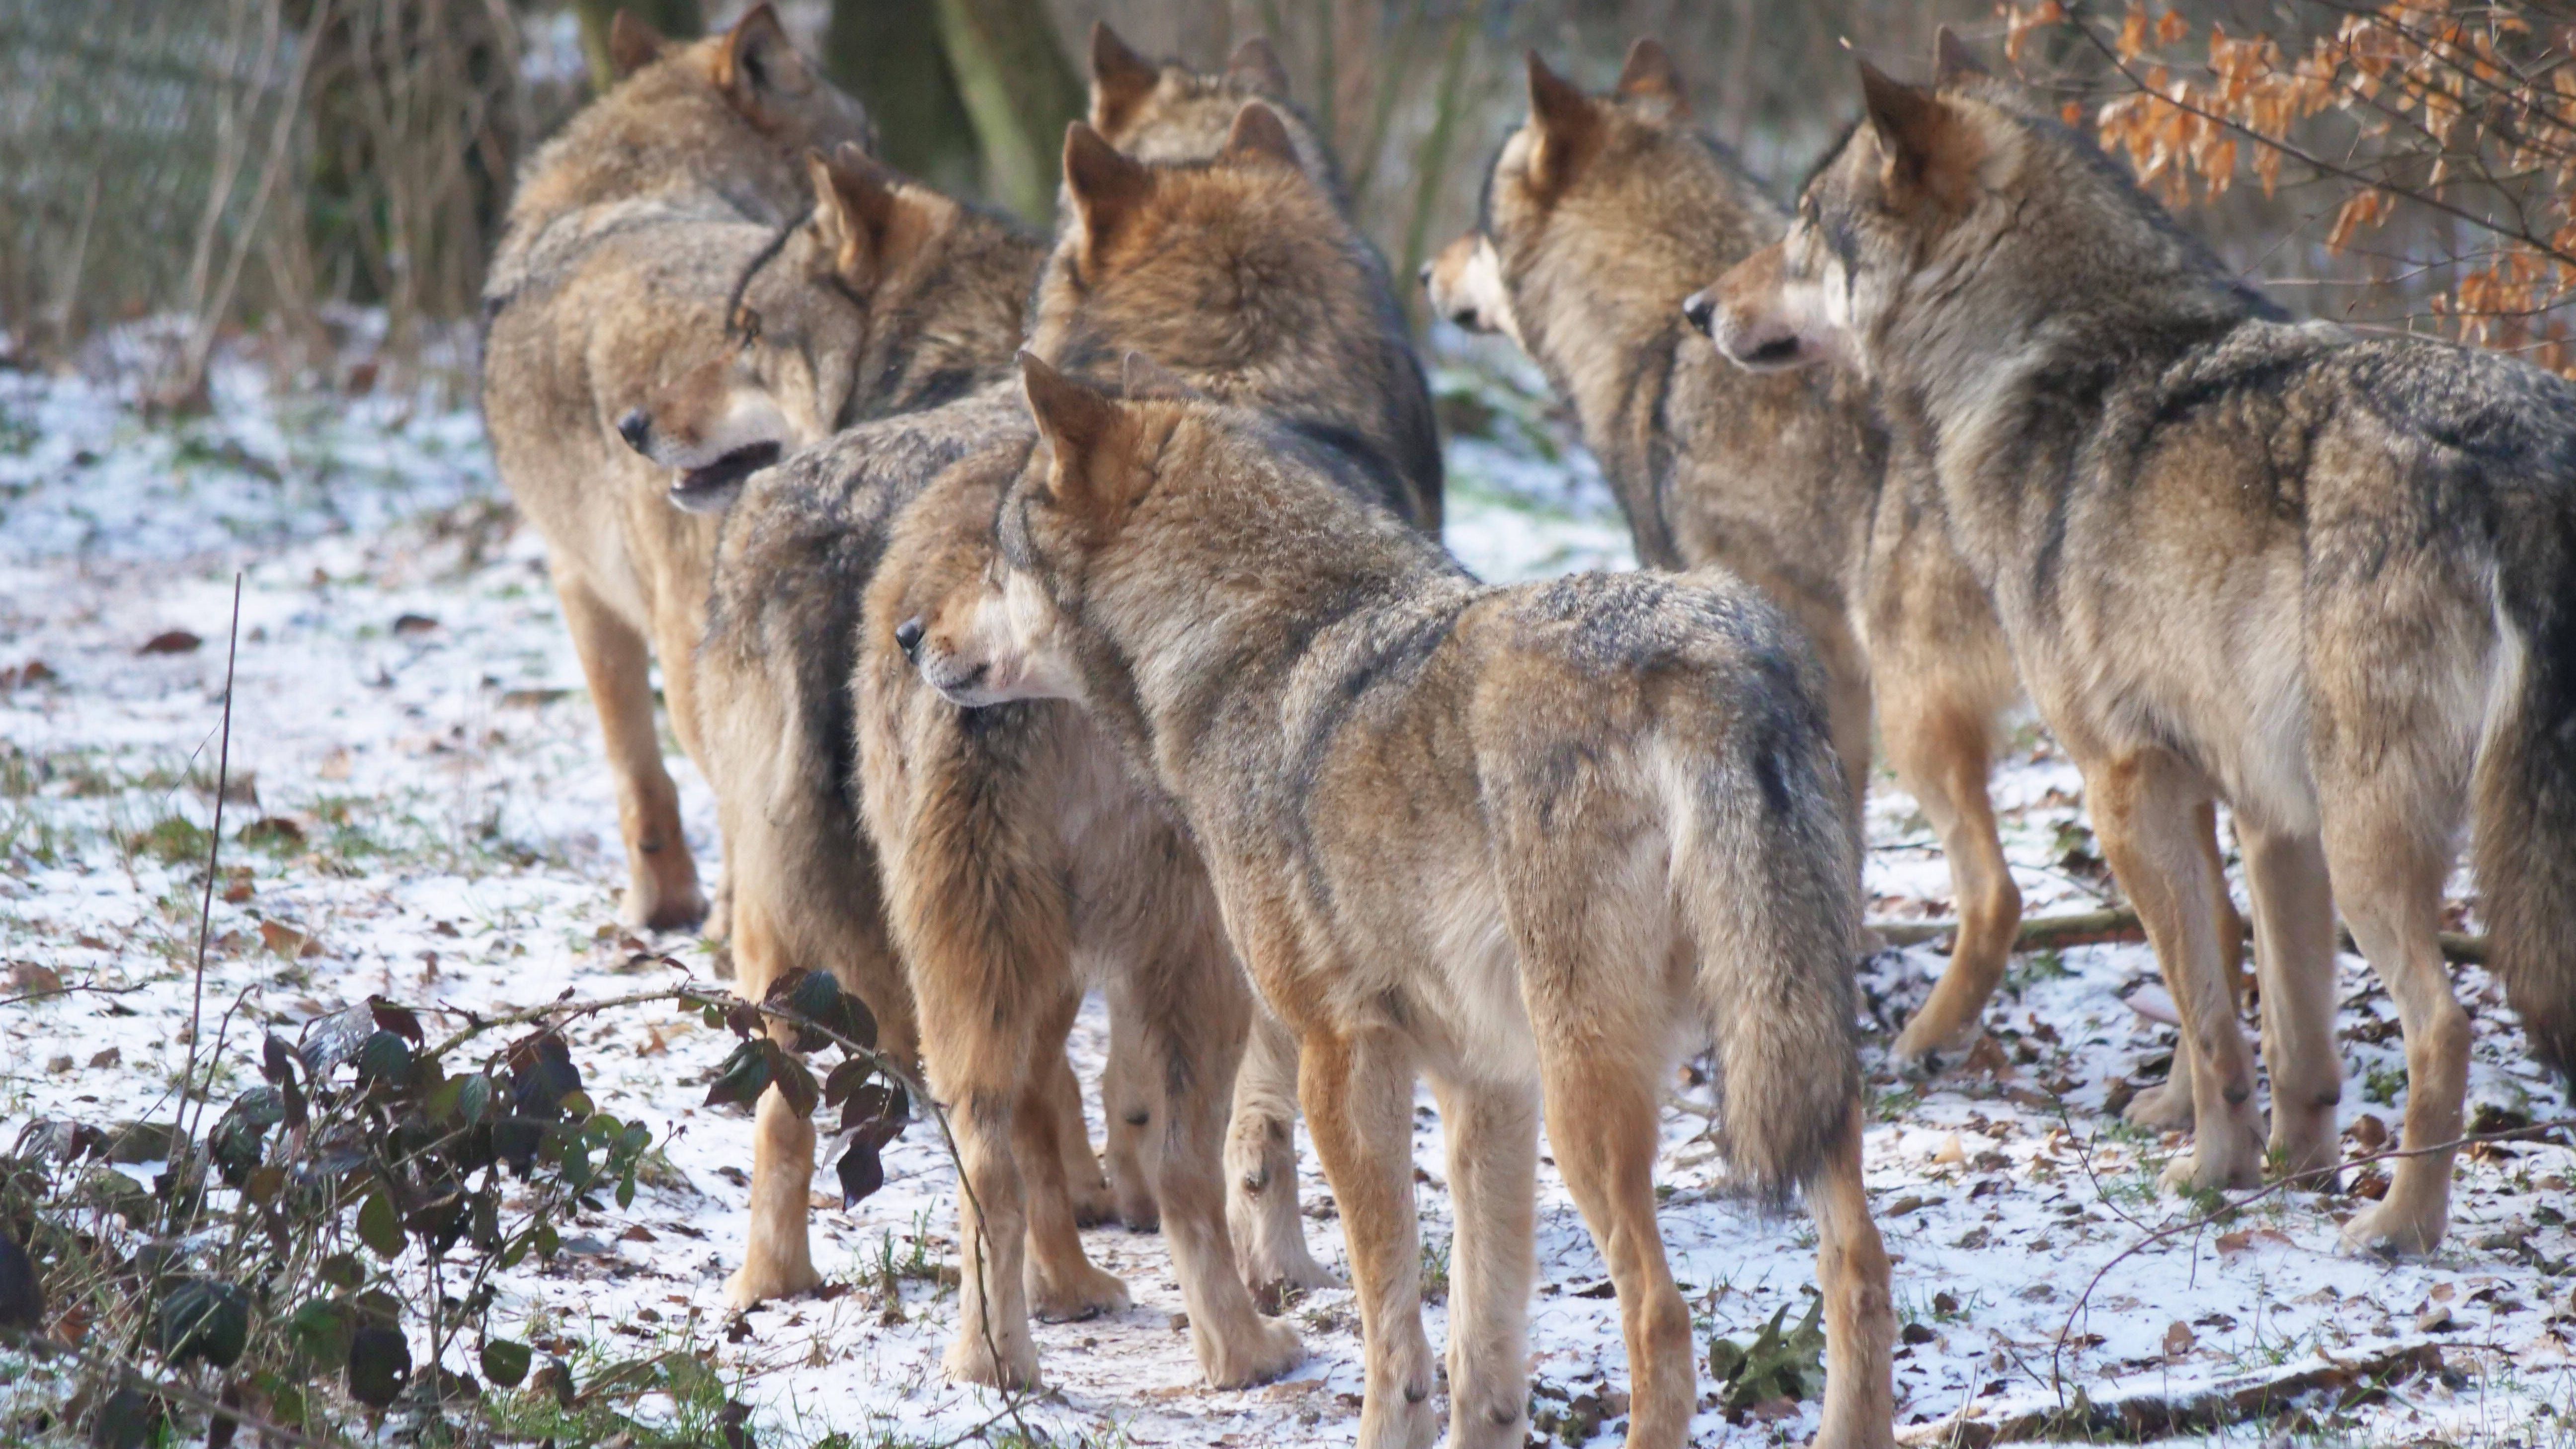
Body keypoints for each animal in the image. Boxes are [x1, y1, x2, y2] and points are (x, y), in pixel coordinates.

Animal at [906, 353, 1896, 1444]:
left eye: (994, 561)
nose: (909, 632)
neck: (1255, 647)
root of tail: (1716, 661)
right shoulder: (1485, 1085)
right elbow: (1480, 1347)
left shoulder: (1340, 1055)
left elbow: (1393, 1326)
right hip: (1800, 1063)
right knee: (1860, 1269)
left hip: (1594, 1110)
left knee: (1662, 1323)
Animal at [1700, 36, 2576, 1253]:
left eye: (1800, 222)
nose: (1696, 308)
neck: (2036, 361)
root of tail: (2523, 450)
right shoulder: (2262, 812)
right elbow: (2287, 1030)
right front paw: (2291, 1168)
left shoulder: (2125, 784)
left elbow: (2210, 1024)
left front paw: (2211, 1171)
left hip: (2372, 843)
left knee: (2442, 1025)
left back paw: (2398, 1226)